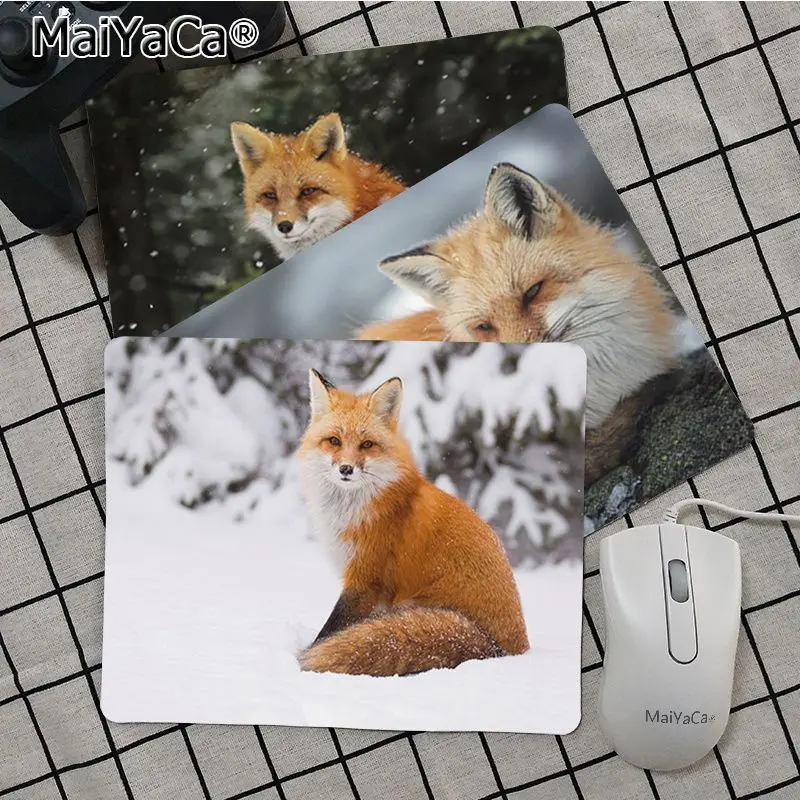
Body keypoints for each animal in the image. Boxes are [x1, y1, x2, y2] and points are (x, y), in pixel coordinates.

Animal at [297, 369, 529, 677]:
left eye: (366, 444)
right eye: (334, 441)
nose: (346, 469)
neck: (353, 510)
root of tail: (502, 650)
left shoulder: (365, 579)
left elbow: (330, 630)